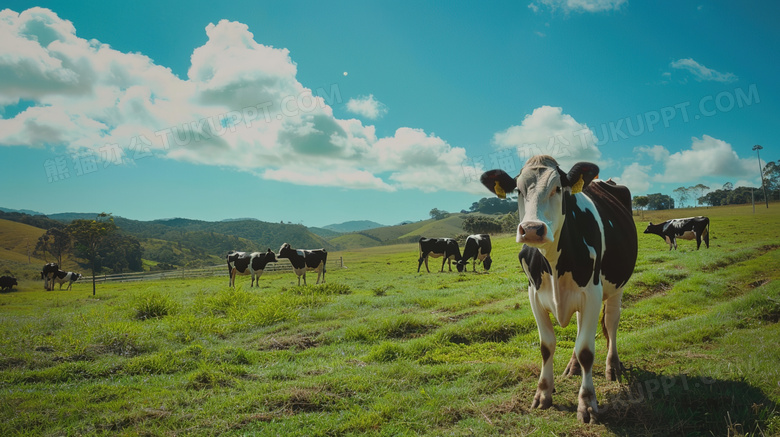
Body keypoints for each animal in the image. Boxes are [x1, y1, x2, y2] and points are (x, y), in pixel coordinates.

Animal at [482, 154, 640, 422]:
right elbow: (547, 346)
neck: (554, 261)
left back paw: (612, 366)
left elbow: (586, 350)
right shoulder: (534, 295)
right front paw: (543, 394)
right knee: (579, 326)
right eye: (519, 190)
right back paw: (573, 366)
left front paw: (587, 403)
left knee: (611, 323)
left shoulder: (592, 293)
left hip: (617, 286)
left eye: (558, 188)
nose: (532, 229)